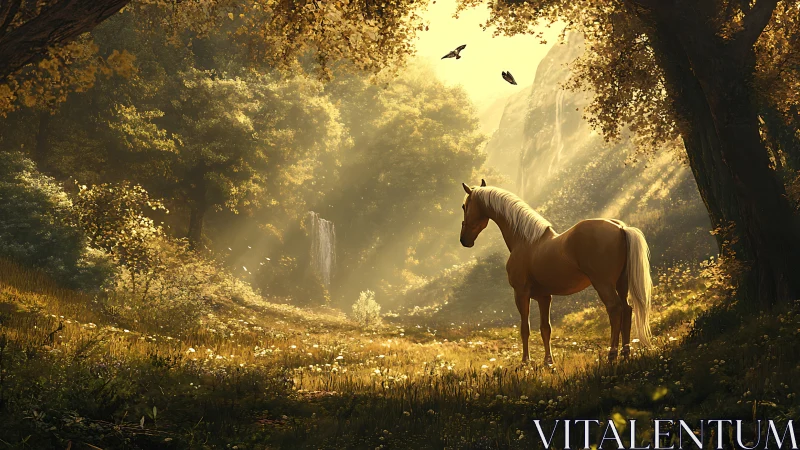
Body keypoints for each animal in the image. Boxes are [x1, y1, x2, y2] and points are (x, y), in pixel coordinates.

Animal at [459, 180, 652, 365]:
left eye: (464, 206)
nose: (464, 240)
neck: (526, 240)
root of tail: (620, 228)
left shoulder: (521, 294)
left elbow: (525, 328)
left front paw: (525, 361)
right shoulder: (544, 297)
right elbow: (546, 329)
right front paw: (548, 361)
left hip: (603, 284)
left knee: (615, 309)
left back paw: (612, 355)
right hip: (622, 283)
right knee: (627, 309)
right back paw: (625, 354)